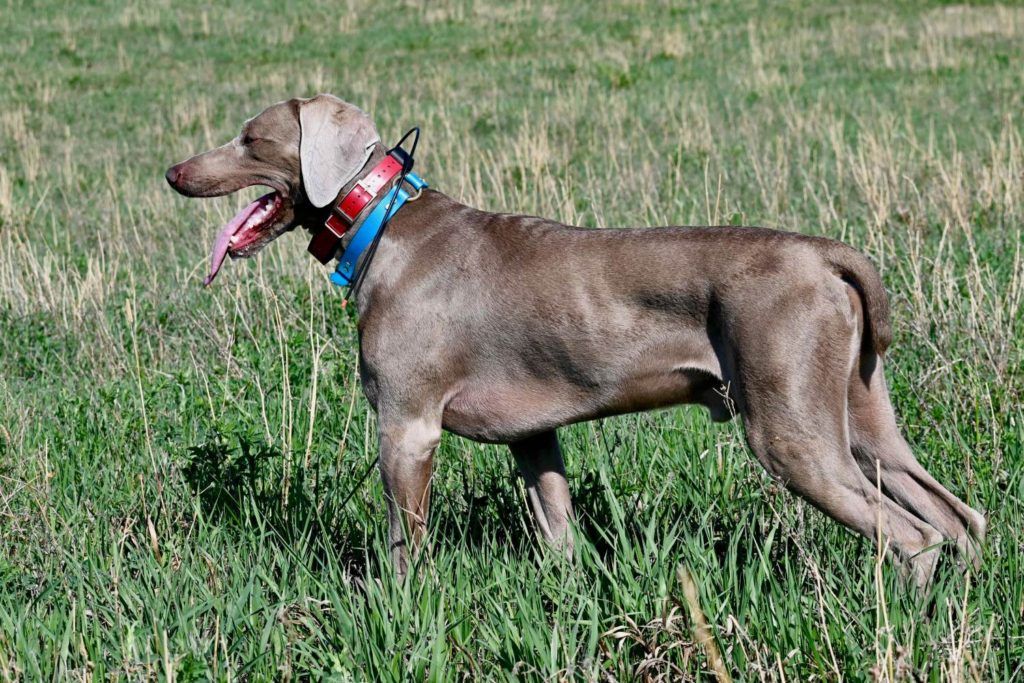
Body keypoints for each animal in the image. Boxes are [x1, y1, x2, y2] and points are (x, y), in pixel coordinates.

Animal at [167, 93, 983, 585]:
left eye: (250, 138)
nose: (173, 172)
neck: (379, 221)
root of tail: (825, 256)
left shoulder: (406, 425)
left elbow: (405, 543)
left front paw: (397, 610)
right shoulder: (535, 434)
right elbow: (557, 526)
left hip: (790, 426)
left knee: (911, 535)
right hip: (859, 410)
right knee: (955, 515)